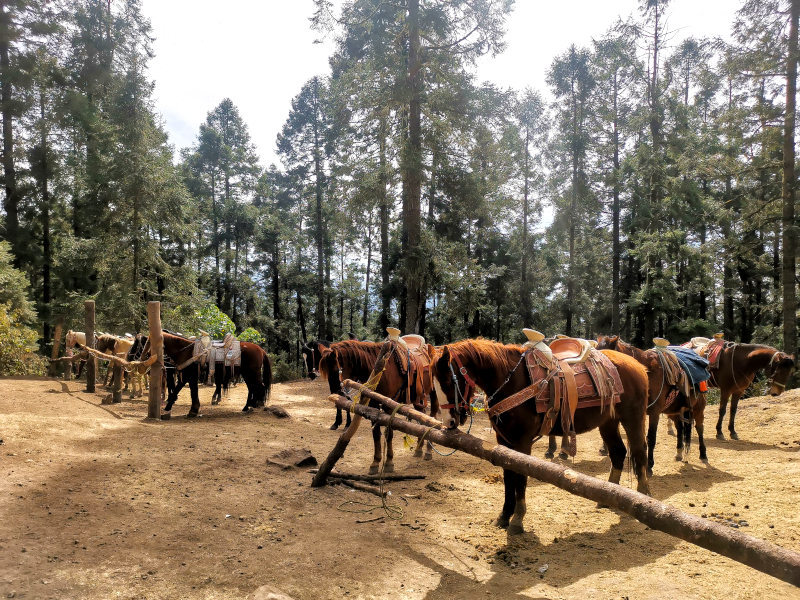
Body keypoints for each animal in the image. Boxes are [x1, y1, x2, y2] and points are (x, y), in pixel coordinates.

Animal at [318, 338, 439, 473]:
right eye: (325, 373)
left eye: (335, 370)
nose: (335, 393)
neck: (380, 371)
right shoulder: (373, 405)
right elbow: (376, 433)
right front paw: (375, 462)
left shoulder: (389, 405)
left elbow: (389, 433)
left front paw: (389, 462)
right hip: (418, 398)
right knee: (422, 418)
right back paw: (419, 448)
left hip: (433, 394)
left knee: (433, 418)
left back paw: (428, 451)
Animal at [431, 338, 650, 535]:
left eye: (449, 381)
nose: (449, 422)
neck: (512, 381)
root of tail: (638, 366)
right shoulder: (504, 441)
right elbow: (508, 477)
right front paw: (504, 516)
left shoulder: (522, 442)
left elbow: (520, 478)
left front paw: (517, 520)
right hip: (608, 422)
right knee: (618, 452)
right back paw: (608, 498)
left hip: (633, 417)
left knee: (639, 452)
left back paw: (644, 497)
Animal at [596, 335, 707, 474]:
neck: (646, 373)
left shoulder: (654, 412)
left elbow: (651, 438)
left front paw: (649, 465)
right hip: (674, 410)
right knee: (680, 428)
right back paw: (679, 452)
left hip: (698, 408)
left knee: (699, 428)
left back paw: (703, 454)